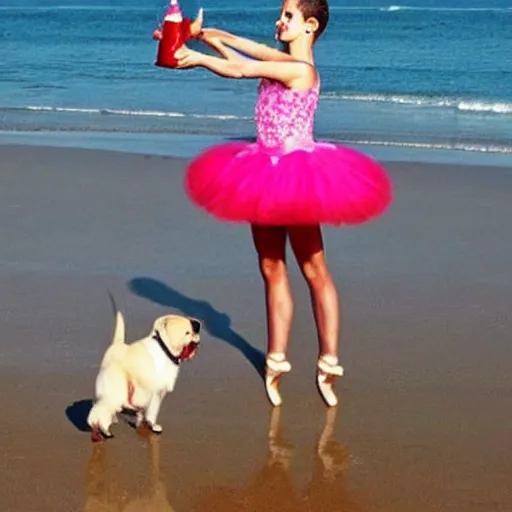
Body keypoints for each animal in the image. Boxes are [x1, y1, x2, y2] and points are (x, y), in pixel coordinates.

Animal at [87, 302, 201, 442]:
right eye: (188, 333)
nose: (198, 324)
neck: (165, 349)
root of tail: (115, 346)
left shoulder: (154, 393)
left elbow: (147, 411)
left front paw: (144, 422)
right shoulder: (156, 391)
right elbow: (152, 411)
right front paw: (150, 424)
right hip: (116, 390)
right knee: (98, 412)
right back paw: (104, 430)